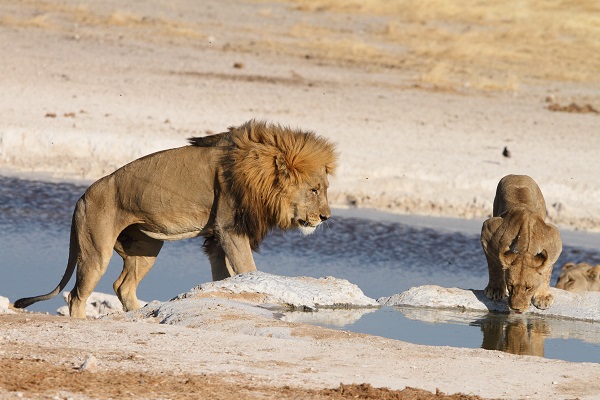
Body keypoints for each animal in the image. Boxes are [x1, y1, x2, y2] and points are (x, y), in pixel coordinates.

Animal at [12, 120, 338, 318]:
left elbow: (223, 274)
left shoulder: (217, 237)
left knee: (122, 286)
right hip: (95, 251)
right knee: (77, 295)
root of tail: (82, 197)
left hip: (145, 249)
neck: (258, 173)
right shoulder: (230, 229)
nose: (326, 216)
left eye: (324, 189)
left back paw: (140, 312)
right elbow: (247, 268)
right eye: (314, 189)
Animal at [478, 174, 564, 312]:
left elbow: (546, 270)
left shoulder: (554, 240)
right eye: (510, 285)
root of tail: (517, 175)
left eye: (529, 288)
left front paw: (543, 297)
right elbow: (494, 265)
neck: (524, 249)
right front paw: (495, 289)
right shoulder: (488, 232)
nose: (516, 308)